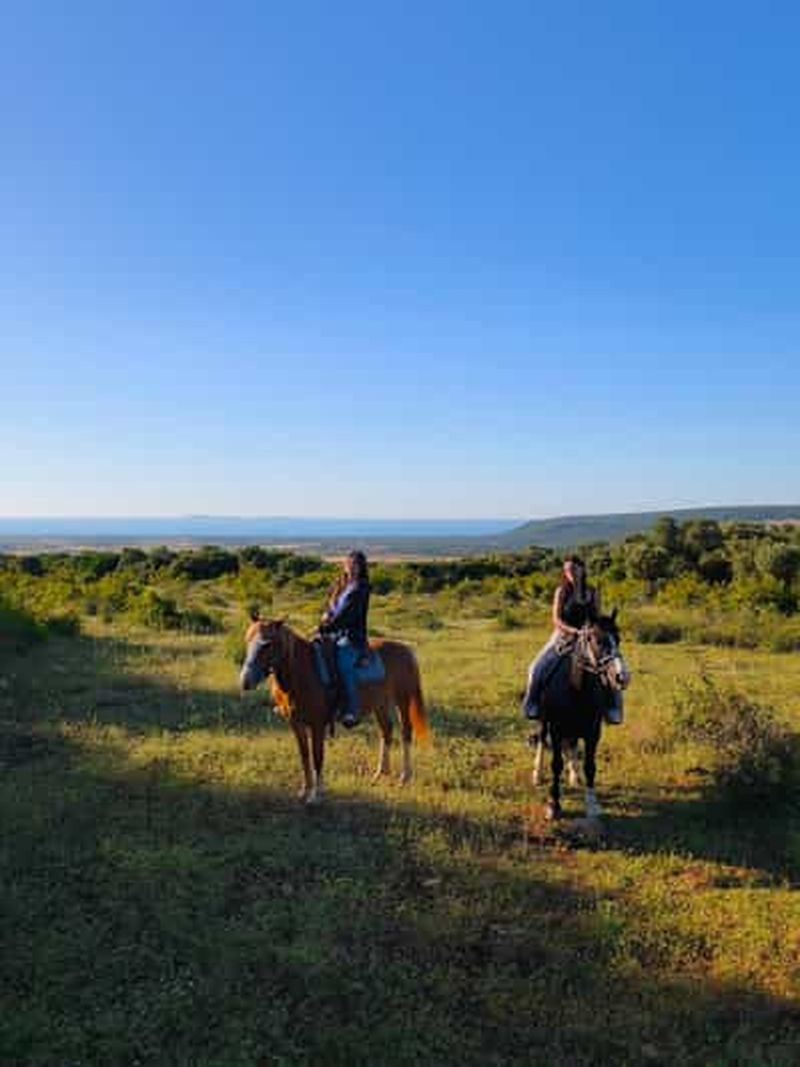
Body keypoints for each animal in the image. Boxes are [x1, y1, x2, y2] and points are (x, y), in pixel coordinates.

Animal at [239, 617, 430, 804]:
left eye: (267, 644)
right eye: (247, 640)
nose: (245, 681)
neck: (303, 672)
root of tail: (406, 649)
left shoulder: (317, 725)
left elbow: (317, 755)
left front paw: (316, 794)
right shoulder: (296, 723)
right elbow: (304, 756)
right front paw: (304, 790)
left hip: (402, 700)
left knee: (405, 733)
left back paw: (404, 777)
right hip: (380, 704)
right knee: (386, 732)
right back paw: (380, 774)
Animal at [530, 612, 630, 822]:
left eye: (618, 639)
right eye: (598, 641)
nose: (622, 677)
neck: (576, 688)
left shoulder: (593, 732)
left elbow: (590, 765)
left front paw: (592, 805)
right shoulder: (556, 729)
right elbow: (556, 764)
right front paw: (553, 805)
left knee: (572, 745)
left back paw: (574, 776)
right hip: (544, 721)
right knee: (542, 741)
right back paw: (537, 775)